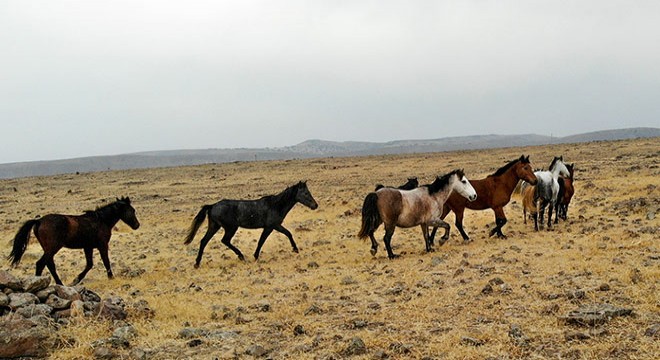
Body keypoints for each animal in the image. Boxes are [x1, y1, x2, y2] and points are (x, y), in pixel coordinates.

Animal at [7, 195, 139, 286]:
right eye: (132, 210)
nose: (137, 225)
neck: (101, 220)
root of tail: (39, 221)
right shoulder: (103, 245)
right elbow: (106, 262)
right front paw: (111, 278)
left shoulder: (88, 247)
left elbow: (89, 264)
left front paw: (76, 280)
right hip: (52, 248)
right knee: (41, 264)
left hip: (49, 249)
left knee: (49, 265)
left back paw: (60, 284)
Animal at [184, 180, 318, 268]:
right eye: (306, 193)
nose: (315, 205)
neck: (275, 205)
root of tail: (212, 206)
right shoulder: (271, 226)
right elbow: (263, 240)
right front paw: (255, 256)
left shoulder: (274, 226)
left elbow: (287, 234)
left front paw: (295, 249)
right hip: (230, 228)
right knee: (224, 240)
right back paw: (241, 256)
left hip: (214, 226)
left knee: (204, 241)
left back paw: (197, 263)